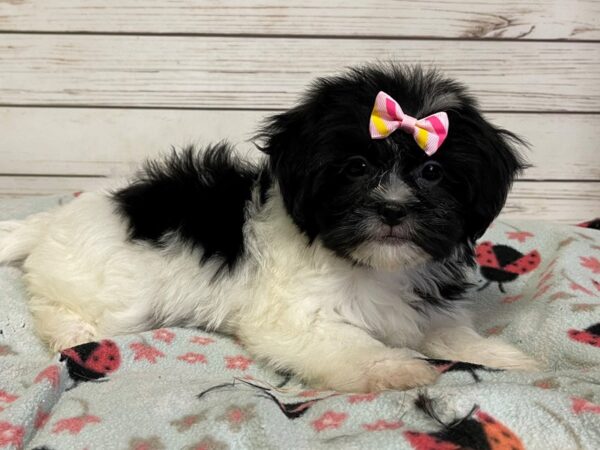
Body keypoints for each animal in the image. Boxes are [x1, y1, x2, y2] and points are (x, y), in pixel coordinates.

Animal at [0, 65, 540, 392]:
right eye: (356, 168)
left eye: (432, 172)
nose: (393, 209)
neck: (370, 265)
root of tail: (56, 219)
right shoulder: (296, 317)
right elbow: (349, 344)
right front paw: (396, 367)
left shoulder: (421, 302)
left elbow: (446, 329)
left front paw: (498, 355)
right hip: (108, 291)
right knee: (51, 301)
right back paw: (72, 331)